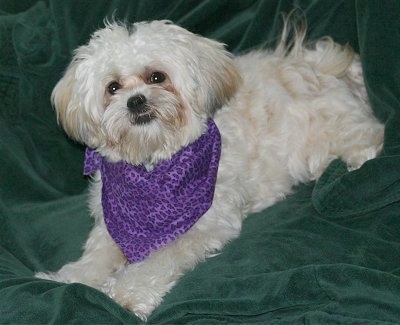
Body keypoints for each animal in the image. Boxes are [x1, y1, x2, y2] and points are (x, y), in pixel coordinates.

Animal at [36, 19, 384, 318]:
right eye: (112, 87)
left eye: (157, 77)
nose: (135, 101)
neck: (151, 164)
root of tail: (318, 66)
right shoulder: (112, 221)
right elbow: (97, 253)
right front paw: (71, 278)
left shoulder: (201, 226)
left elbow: (157, 260)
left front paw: (126, 293)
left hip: (329, 137)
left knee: (369, 137)